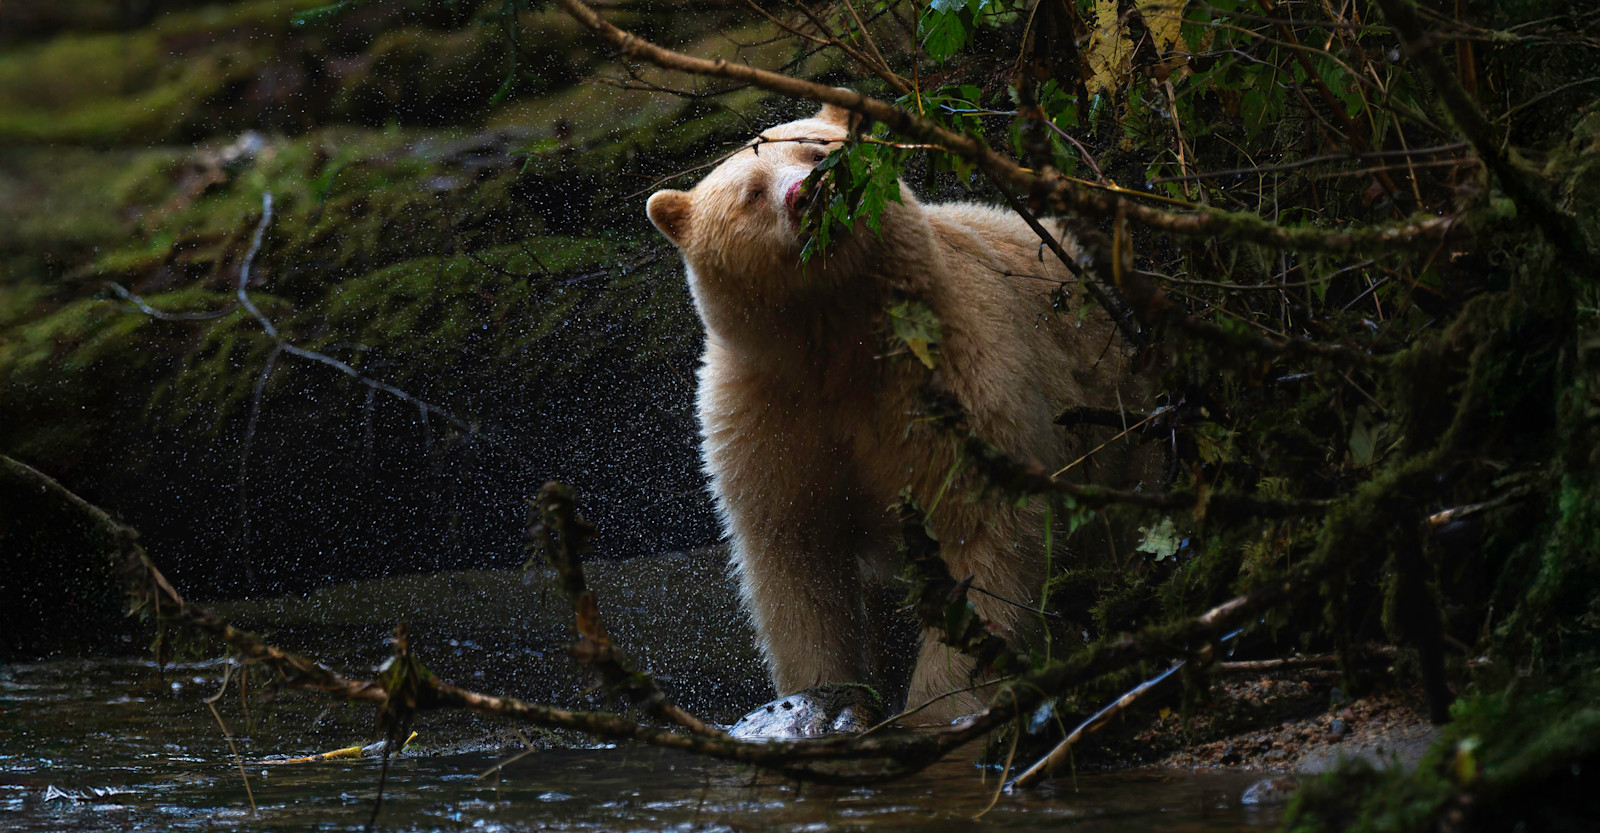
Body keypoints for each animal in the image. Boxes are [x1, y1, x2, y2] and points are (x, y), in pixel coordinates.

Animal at [646, 102, 1136, 733]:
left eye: (818, 149)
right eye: (751, 192)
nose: (809, 193)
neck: (835, 342)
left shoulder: (953, 376)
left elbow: (979, 531)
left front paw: (937, 708)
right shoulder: (767, 417)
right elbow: (795, 561)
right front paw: (819, 697)